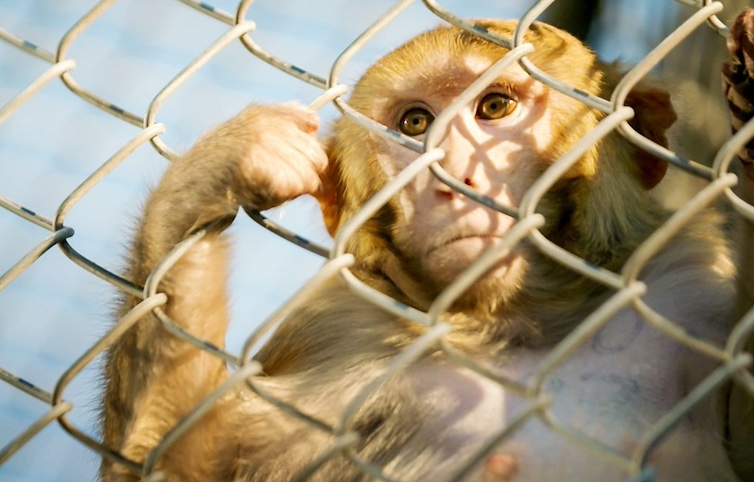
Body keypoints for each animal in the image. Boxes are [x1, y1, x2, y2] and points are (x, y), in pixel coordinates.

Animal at [101, 11, 754, 482]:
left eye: (495, 106)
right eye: (415, 124)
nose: (450, 179)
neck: (520, 327)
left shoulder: (686, 290)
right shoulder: (342, 332)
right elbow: (179, 468)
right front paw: (213, 174)